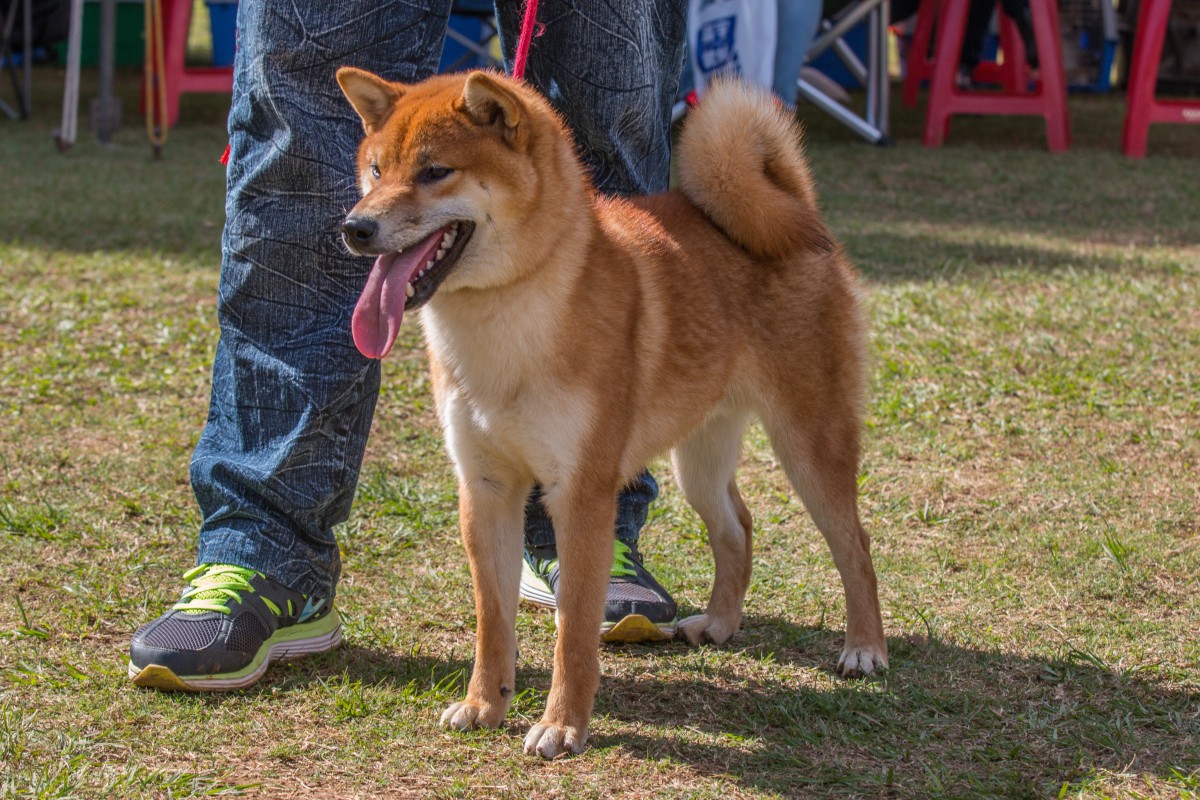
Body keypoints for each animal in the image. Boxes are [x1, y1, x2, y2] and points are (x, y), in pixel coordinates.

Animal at [333, 67, 888, 758]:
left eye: (436, 171)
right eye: (376, 170)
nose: (355, 227)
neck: (508, 320)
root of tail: (797, 208)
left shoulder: (581, 494)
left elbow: (573, 629)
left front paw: (561, 725)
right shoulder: (486, 487)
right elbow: (493, 619)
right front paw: (484, 703)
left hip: (810, 444)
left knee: (854, 544)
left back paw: (864, 648)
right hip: (698, 462)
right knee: (737, 527)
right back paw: (719, 623)